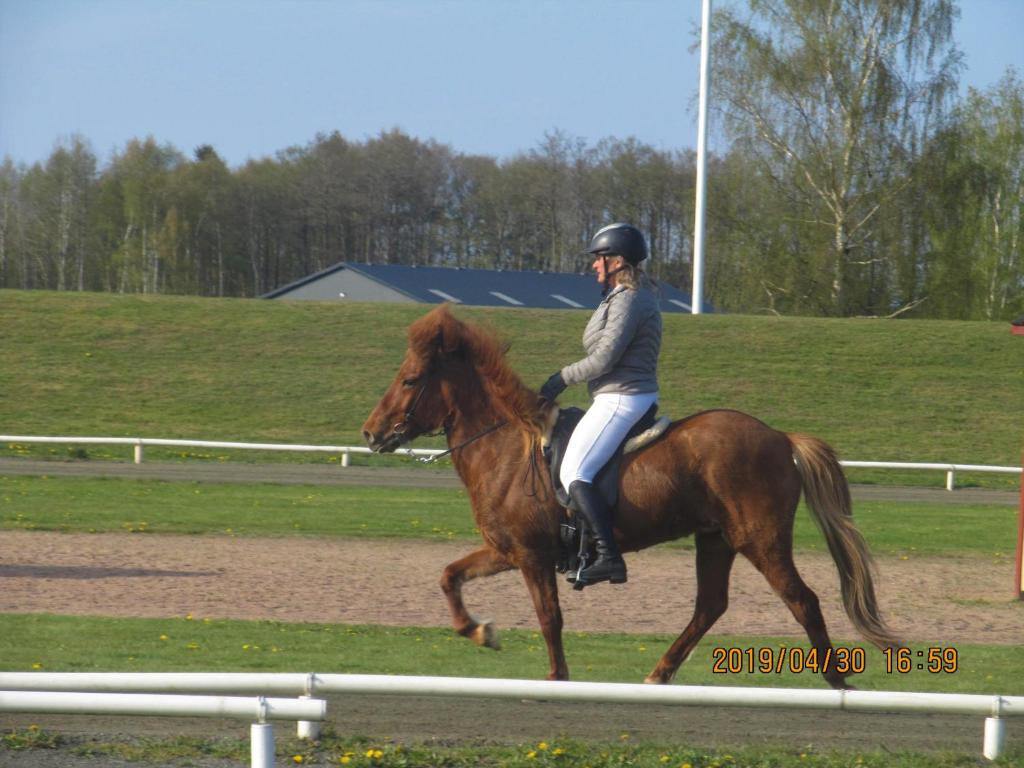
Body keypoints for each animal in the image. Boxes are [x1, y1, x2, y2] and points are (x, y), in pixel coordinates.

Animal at [361, 304, 900, 688]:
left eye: (410, 379)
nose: (370, 433)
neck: (506, 449)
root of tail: (780, 437)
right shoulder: (506, 550)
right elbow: (449, 576)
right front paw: (479, 631)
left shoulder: (532, 557)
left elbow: (549, 618)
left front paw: (555, 677)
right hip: (716, 539)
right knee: (710, 605)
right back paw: (659, 674)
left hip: (760, 540)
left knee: (802, 599)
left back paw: (838, 682)